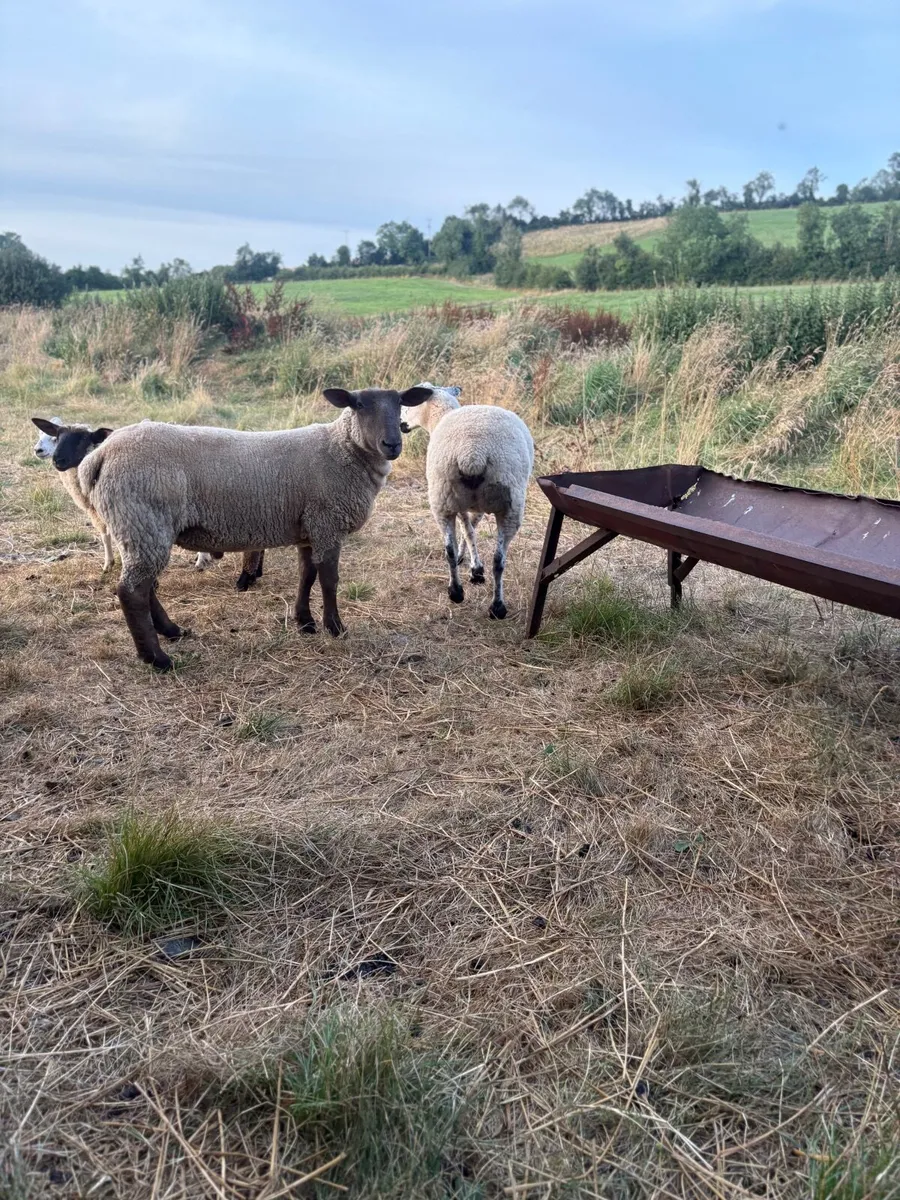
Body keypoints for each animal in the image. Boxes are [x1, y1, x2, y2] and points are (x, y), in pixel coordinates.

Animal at [75, 386, 432, 670]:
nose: (392, 444)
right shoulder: (327, 523)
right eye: (358, 404)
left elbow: (306, 575)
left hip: (142, 529)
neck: (342, 449)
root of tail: (98, 457)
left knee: (145, 586)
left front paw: (305, 622)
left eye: (400, 403)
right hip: (143, 520)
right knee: (132, 592)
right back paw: (157, 659)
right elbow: (329, 581)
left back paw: (172, 631)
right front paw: (335, 628)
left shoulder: (309, 527)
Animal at [400, 384, 534, 619]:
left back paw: (458, 593)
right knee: (497, 559)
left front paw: (474, 567)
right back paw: (494, 606)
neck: (439, 418)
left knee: (453, 550)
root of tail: (473, 454)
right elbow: (471, 527)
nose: (401, 425)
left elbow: (467, 528)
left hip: (444, 498)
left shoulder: (461, 505)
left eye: (409, 404)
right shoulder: (468, 505)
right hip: (506, 504)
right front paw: (475, 569)